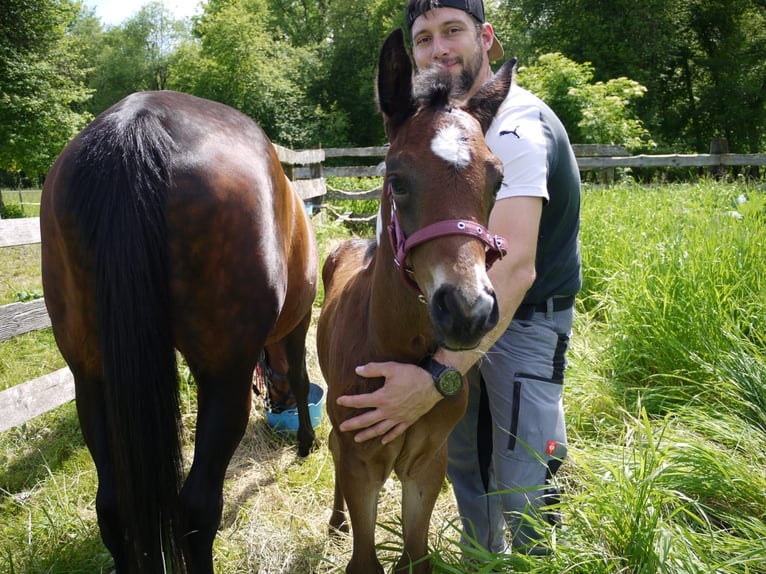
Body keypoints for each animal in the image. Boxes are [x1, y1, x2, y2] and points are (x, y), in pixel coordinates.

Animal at [40, 90, 318, 573]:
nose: (275, 405)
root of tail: (136, 124)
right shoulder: (298, 324)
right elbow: (302, 379)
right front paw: (306, 442)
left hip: (89, 376)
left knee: (111, 507)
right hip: (224, 378)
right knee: (198, 508)